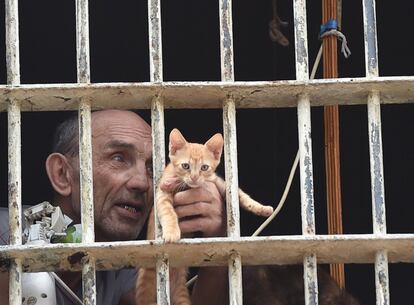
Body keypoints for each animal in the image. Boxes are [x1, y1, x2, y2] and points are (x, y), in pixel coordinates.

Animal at [136, 128, 276, 304]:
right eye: (186, 166)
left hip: (181, 293)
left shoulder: (218, 182)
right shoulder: (163, 191)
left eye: (204, 167)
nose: (195, 177)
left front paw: (261, 208)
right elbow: (168, 212)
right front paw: (171, 232)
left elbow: (239, 195)